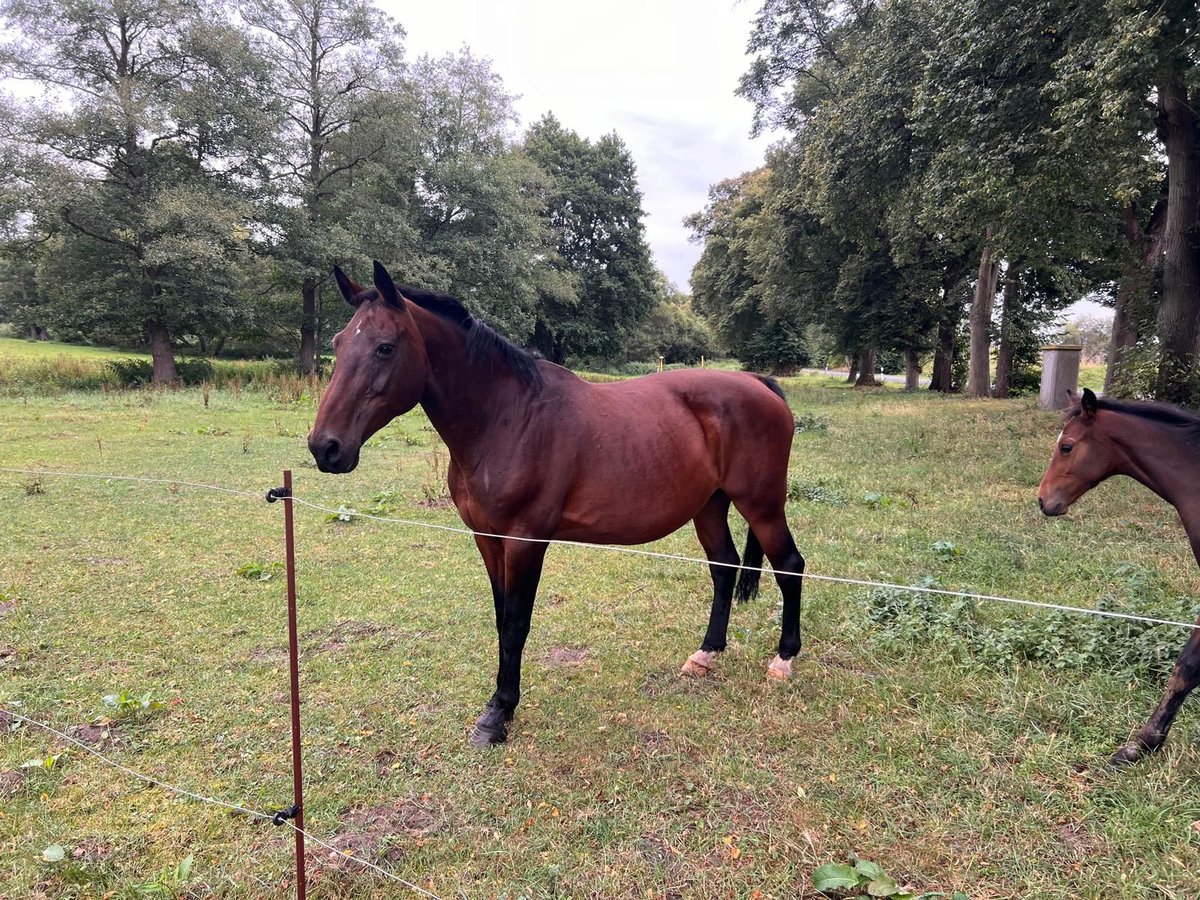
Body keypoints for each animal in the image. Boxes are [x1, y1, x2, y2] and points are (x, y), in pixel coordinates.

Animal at [307, 262, 806, 748]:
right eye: (337, 343)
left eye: (385, 348)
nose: (325, 447)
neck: (507, 418)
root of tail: (757, 384)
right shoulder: (487, 539)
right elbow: (500, 618)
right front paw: (497, 704)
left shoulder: (525, 542)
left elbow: (515, 624)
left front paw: (498, 715)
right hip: (710, 506)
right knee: (724, 567)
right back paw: (706, 654)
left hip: (761, 505)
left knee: (790, 566)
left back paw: (783, 660)